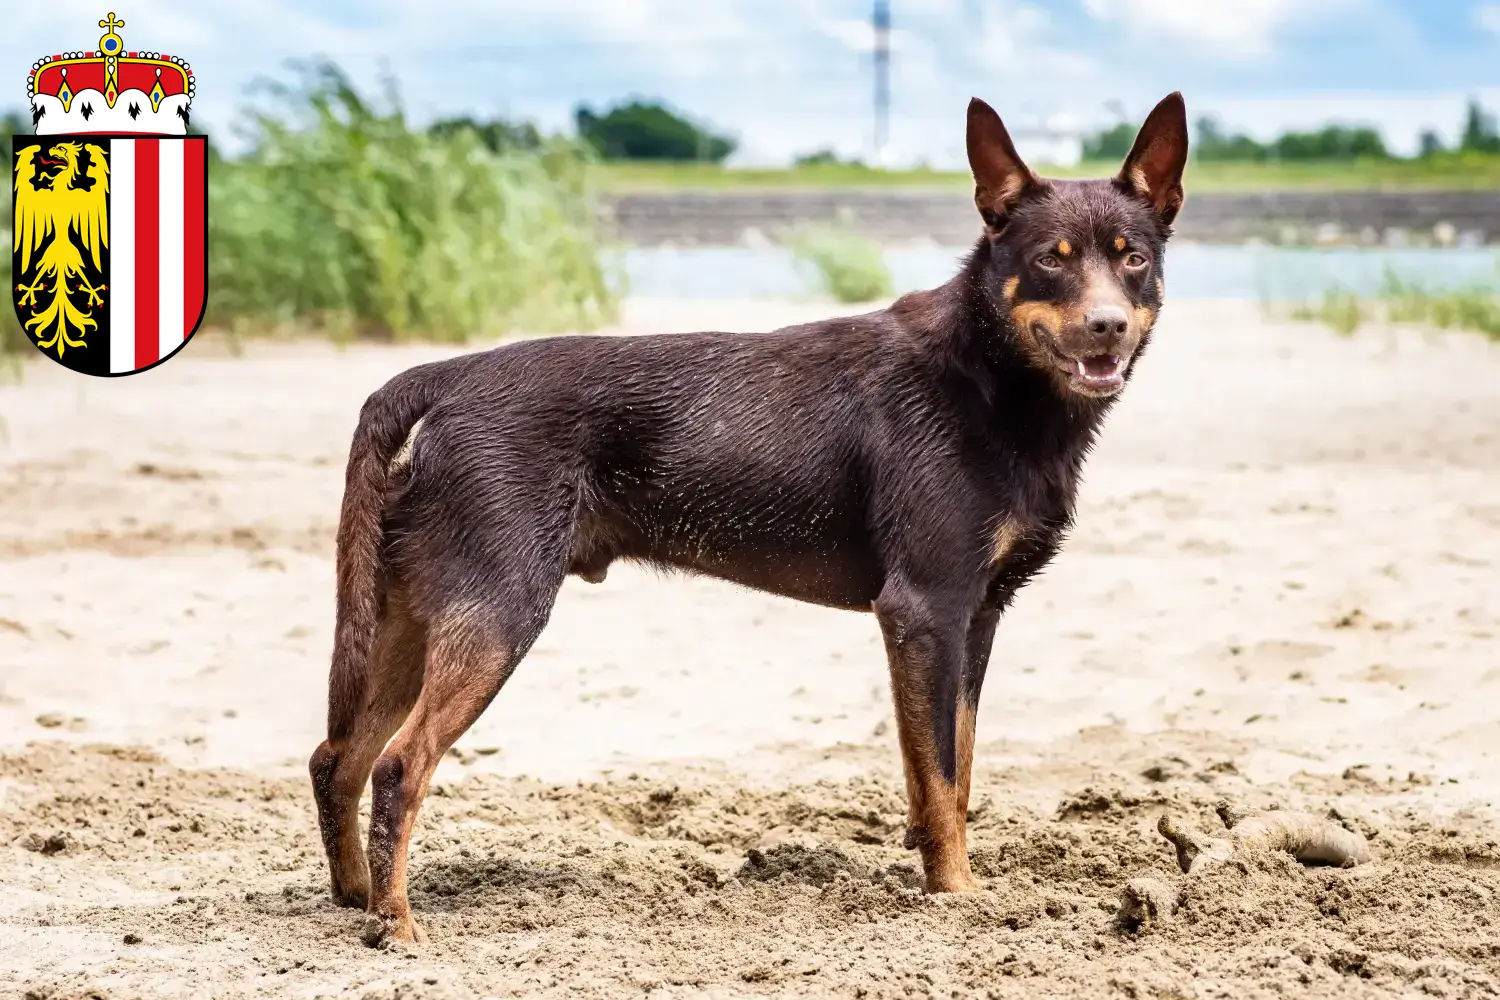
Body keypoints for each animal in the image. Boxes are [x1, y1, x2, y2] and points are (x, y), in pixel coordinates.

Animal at [310, 89, 1188, 941]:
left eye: (1133, 259)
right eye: (1049, 260)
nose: (1107, 325)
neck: (992, 374)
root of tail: (443, 379)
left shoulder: (976, 617)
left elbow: (951, 770)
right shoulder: (926, 610)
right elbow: (942, 779)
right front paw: (957, 898)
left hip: (410, 614)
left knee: (336, 759)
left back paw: (355, 897)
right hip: (497, 611)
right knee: (398, 766)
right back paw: (397, 924)